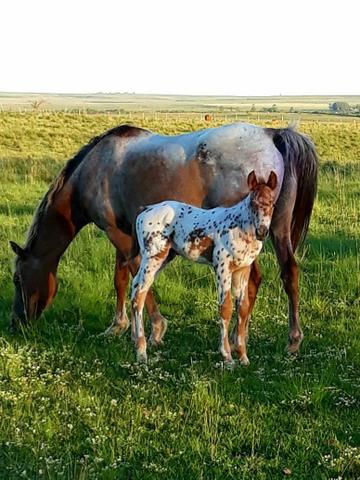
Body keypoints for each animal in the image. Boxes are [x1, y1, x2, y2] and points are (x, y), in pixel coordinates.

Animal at [131, 172, 278, 364]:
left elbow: (243, 307)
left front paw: (243, 357)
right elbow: (225, 308)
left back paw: (135, 340)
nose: (262, 231)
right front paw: (227, 357)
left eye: (272, 202)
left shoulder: (242, 270)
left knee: (135, 286)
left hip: (163, 259)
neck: (240, 228)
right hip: (153, 258)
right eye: (252, 202)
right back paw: (142, 352)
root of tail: (145, 210)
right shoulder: (222, 267)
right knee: (139, 295)